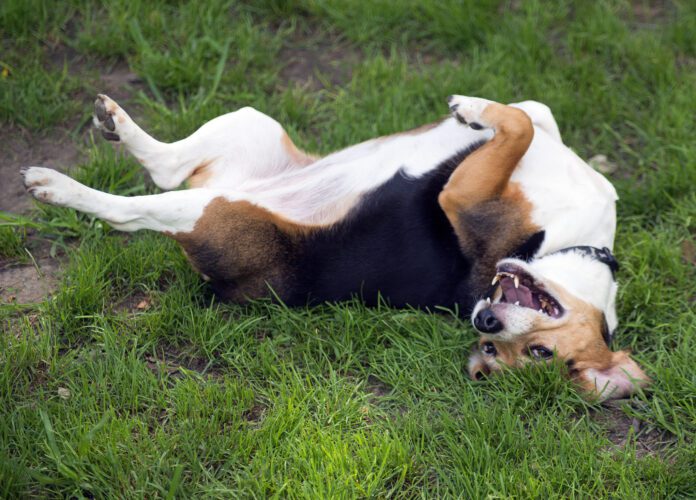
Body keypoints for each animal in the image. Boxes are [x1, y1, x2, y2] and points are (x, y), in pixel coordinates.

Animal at [23, 93, 652, 398]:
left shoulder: (460, 195)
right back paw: (114, 124)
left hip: (207, 212)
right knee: (166, 163)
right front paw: (472, 112)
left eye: (533, 356)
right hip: (249, 126)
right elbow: (528, 117)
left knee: (135, 207)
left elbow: (516, 125)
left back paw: (57, 185)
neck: (575, 244)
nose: (485, 321)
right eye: (499, 350)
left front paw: (474, 112)